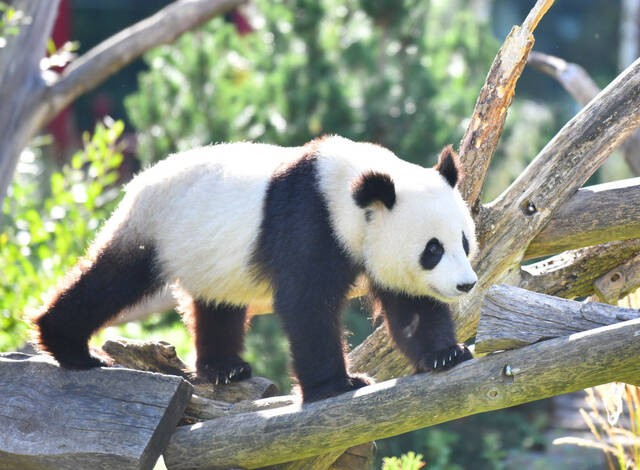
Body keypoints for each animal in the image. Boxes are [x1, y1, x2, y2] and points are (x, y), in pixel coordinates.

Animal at [32, 137, 478, 404]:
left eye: (464, 242)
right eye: (432, 249)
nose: (466, 284)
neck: (350, 189)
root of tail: (141, 178)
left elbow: (411, 307)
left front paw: (445, 354)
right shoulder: (310, 220)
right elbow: (305, 304)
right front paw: (339, 385)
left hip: (208, 254)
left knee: (217, 302)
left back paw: (225, 367)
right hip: (155, 227)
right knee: (112, 280)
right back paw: (70, 348)